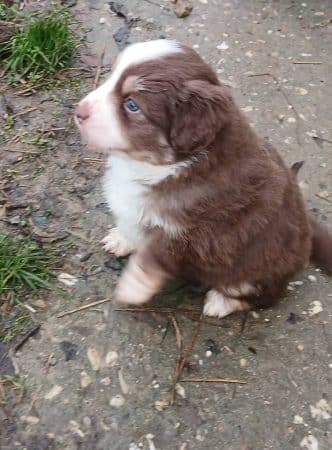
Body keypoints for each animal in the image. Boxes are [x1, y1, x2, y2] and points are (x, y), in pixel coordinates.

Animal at [75, 40, 332, 318]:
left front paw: (133, 287)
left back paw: (221, 302)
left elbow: (154, 256)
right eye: (110, 78)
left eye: (132, 105)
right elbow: (131, 225)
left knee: (263, 295)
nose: (79, 111)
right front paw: (121, 239)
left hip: (258, 269)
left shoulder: (199, 237)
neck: (161, 167)